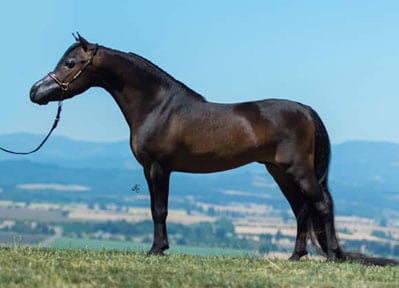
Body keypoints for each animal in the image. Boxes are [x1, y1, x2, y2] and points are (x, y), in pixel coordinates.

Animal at [28, 34, 396, 266]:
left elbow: (159, 210)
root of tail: (305, 110)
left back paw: (333, 256)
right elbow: (156, 209)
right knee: (302, 210)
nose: (35, 92)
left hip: (299, 171)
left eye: (70, 63)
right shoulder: (151, 169)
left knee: (322, 205)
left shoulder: (158, 167)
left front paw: (156, 250)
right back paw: (295, 257)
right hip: (279, 173)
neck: (158, 106)